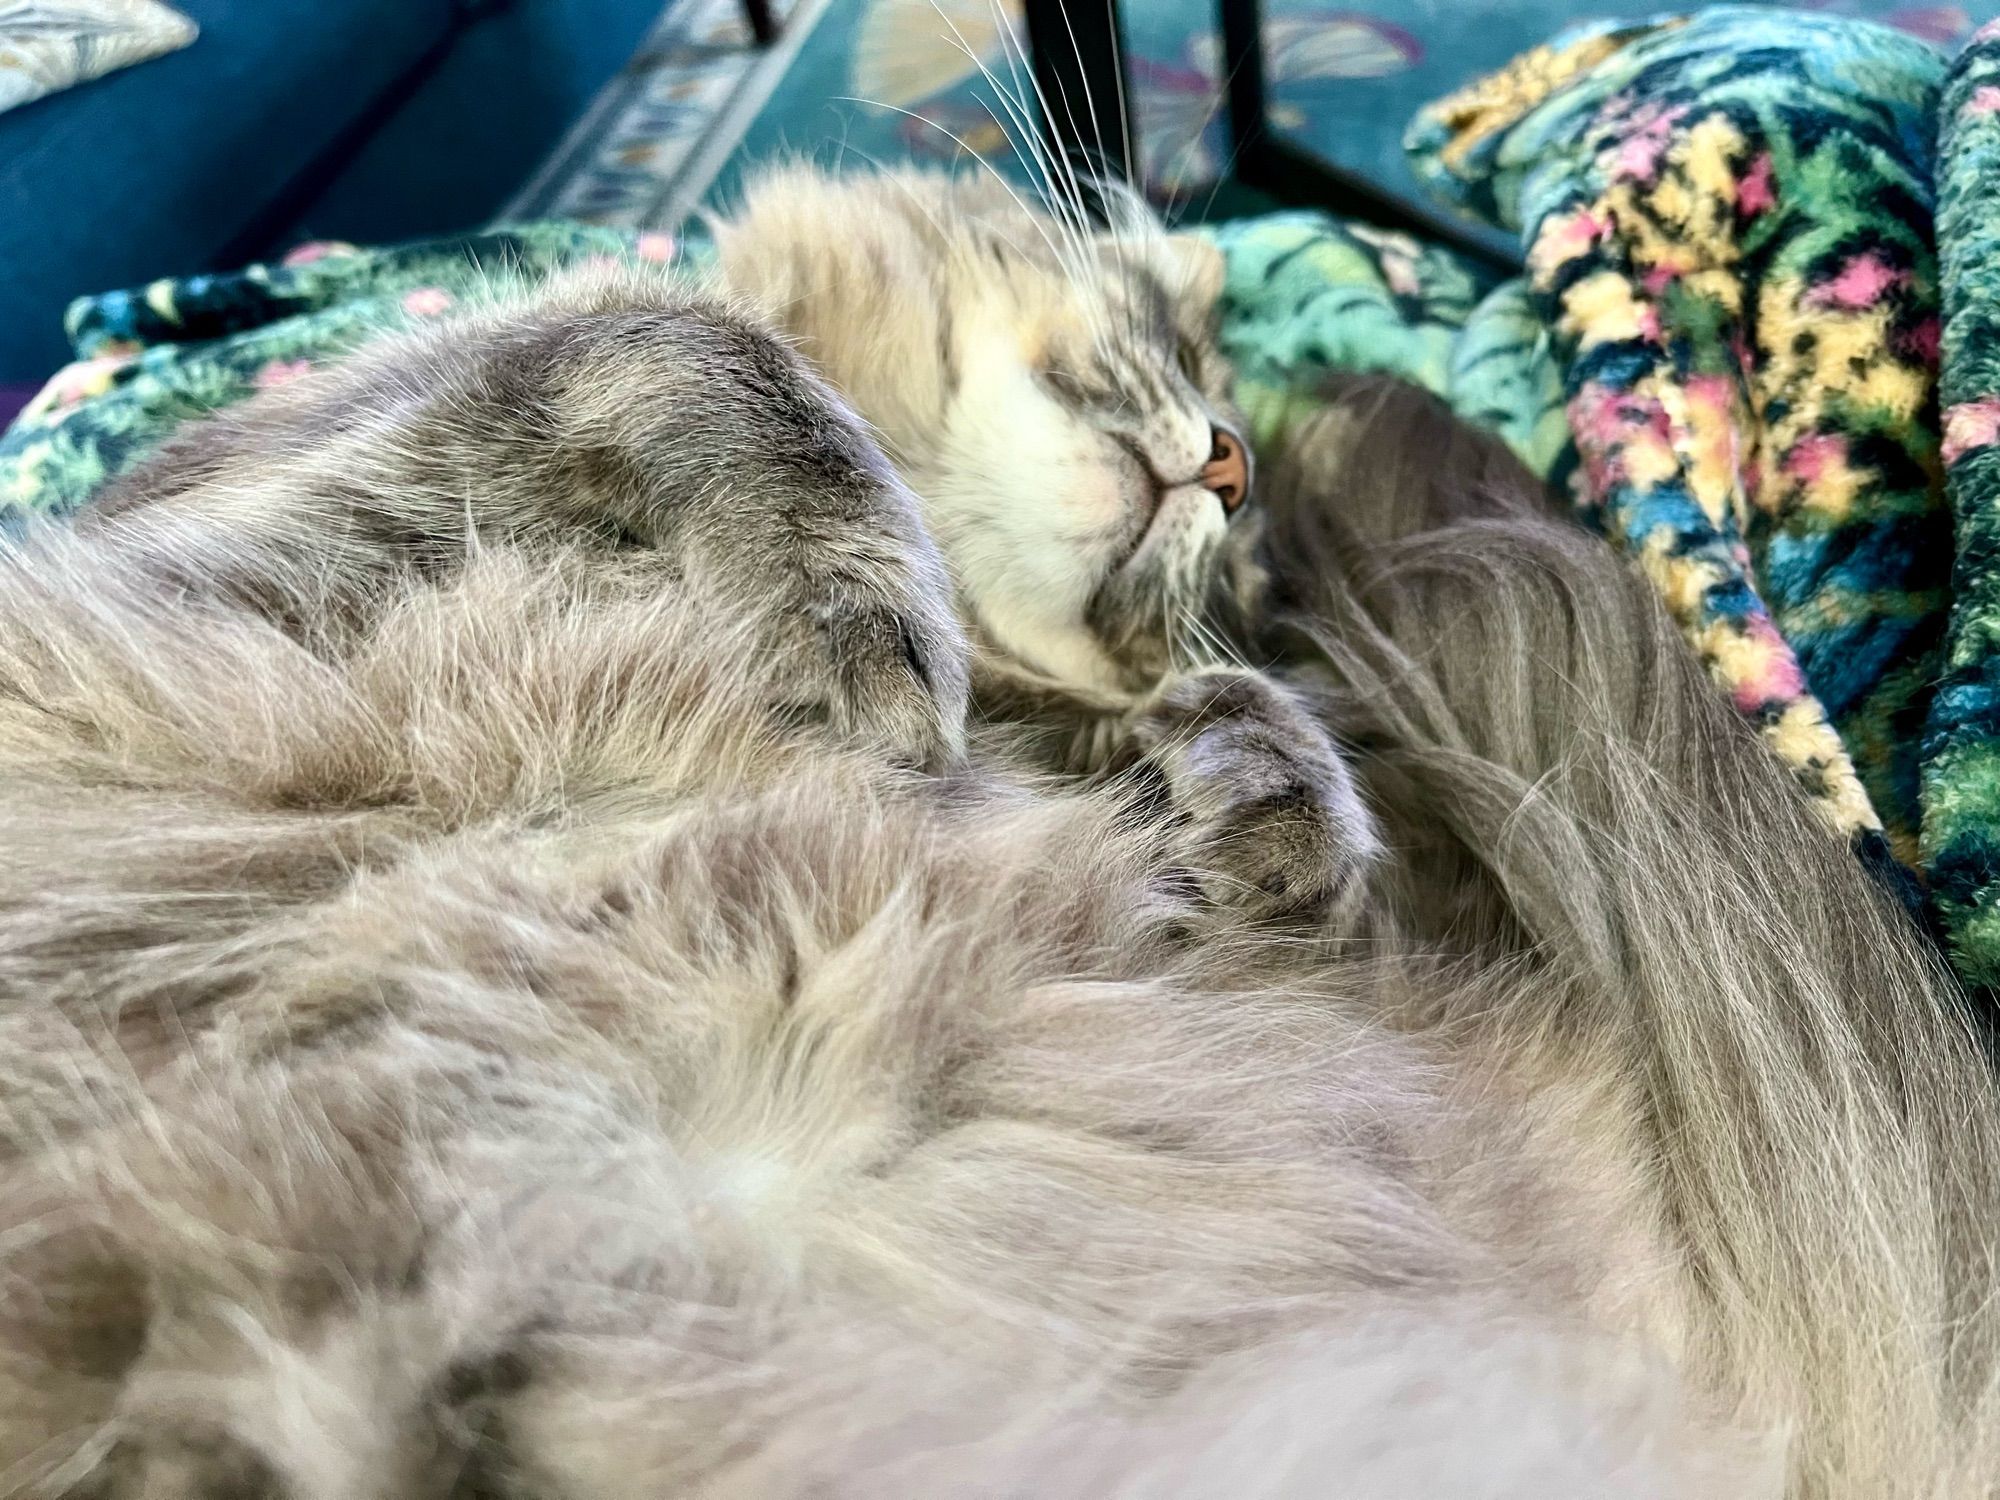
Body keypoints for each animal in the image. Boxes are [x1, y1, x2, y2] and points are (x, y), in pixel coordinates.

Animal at [0, 170, 1992, 1500]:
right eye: (1173, 351)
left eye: (1231, 536)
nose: (1229, 460)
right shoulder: (257, 528)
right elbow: (687, 339)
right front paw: (872, 622)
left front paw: (1249, 787)